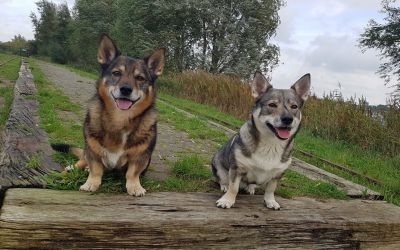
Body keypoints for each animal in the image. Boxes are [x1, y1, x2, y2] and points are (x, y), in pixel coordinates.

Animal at [52, 34, 165, 195]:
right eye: (116, 73)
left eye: (140, 78)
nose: (126, 89)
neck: (120, 119)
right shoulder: (92, 149)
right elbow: (96, 169)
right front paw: (91, 183)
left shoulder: (140, 156)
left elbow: (132, 173)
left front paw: (135, 186)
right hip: (86, 151)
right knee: (83, 159)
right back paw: (73, 167)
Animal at [211, 72, 310, 209]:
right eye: (272, 105)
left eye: (294, 106)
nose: (287, 119)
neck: (271, 145)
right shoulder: (237, 169)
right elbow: (233, 188)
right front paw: (227, 200)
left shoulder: (277, 174)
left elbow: (270, 189)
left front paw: (270, 201)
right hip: (218, 164)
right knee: (222, 179)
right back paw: (225, 186)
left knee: (252, 183)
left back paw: (251, 188)